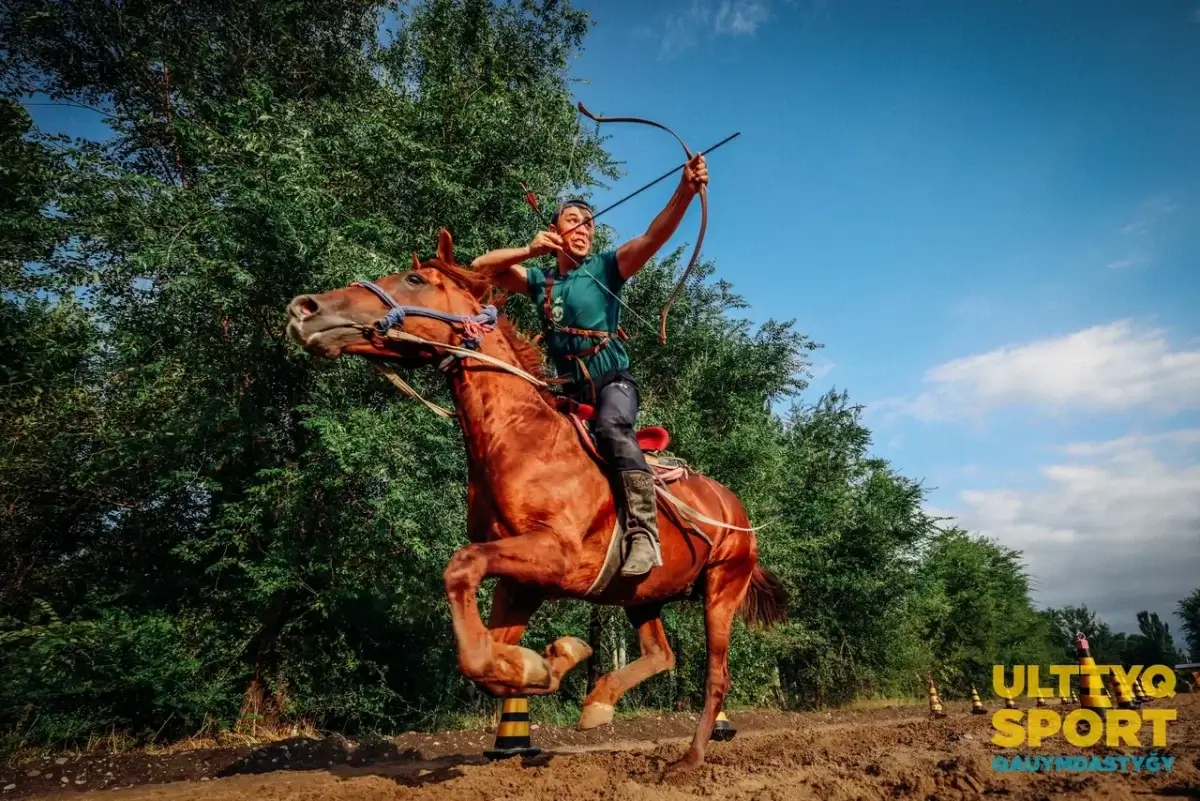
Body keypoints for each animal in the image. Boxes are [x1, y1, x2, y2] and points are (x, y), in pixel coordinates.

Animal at [283, 226, 787, 767]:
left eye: (414, 279)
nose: (305, 307)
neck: (522, 438)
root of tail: (735, 509)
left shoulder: (555, 557)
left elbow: (461, 572)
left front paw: (546, 660)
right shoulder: (520, 580)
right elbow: (479, 661)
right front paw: (546, 663)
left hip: (721, 590)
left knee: (716, 677)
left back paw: (687, 760)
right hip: (641, 593)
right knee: (661, 653)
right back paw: (599, 703)